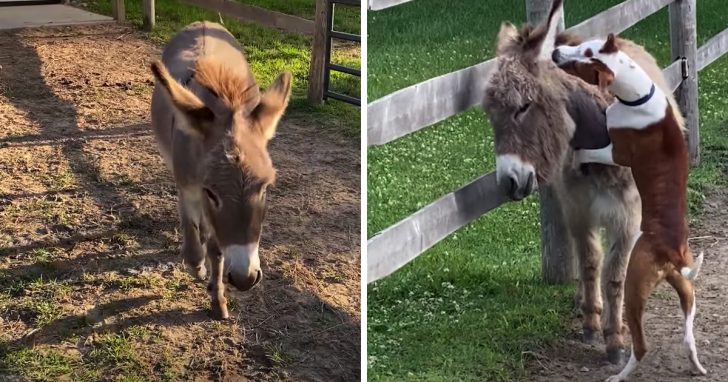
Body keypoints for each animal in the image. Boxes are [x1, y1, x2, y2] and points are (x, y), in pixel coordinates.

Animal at [552, 34, 704, 380]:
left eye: (582, 60)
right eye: (585, 45)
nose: (554, 52)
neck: (640, 96)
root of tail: (671, 255)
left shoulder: (616, 151)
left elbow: (590, 151)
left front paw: (578, 153)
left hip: (635, 288)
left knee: (640, 344)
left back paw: (618, 368)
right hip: (688, 294)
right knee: (688, 338)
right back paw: (697, 365)